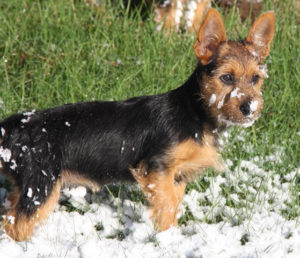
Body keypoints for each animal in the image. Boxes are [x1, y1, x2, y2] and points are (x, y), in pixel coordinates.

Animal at [0, 8, 274, 242]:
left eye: (255, 78)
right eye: (226, 78)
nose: (249, 108)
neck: (195, 113)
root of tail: (11, 127)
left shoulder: (176, 177)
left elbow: (173, 204)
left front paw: (171, 234)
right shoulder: (156, 168)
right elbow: (165, 206)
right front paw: (166, 238)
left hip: (25, 184)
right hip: (40, 184)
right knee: (16, 224)